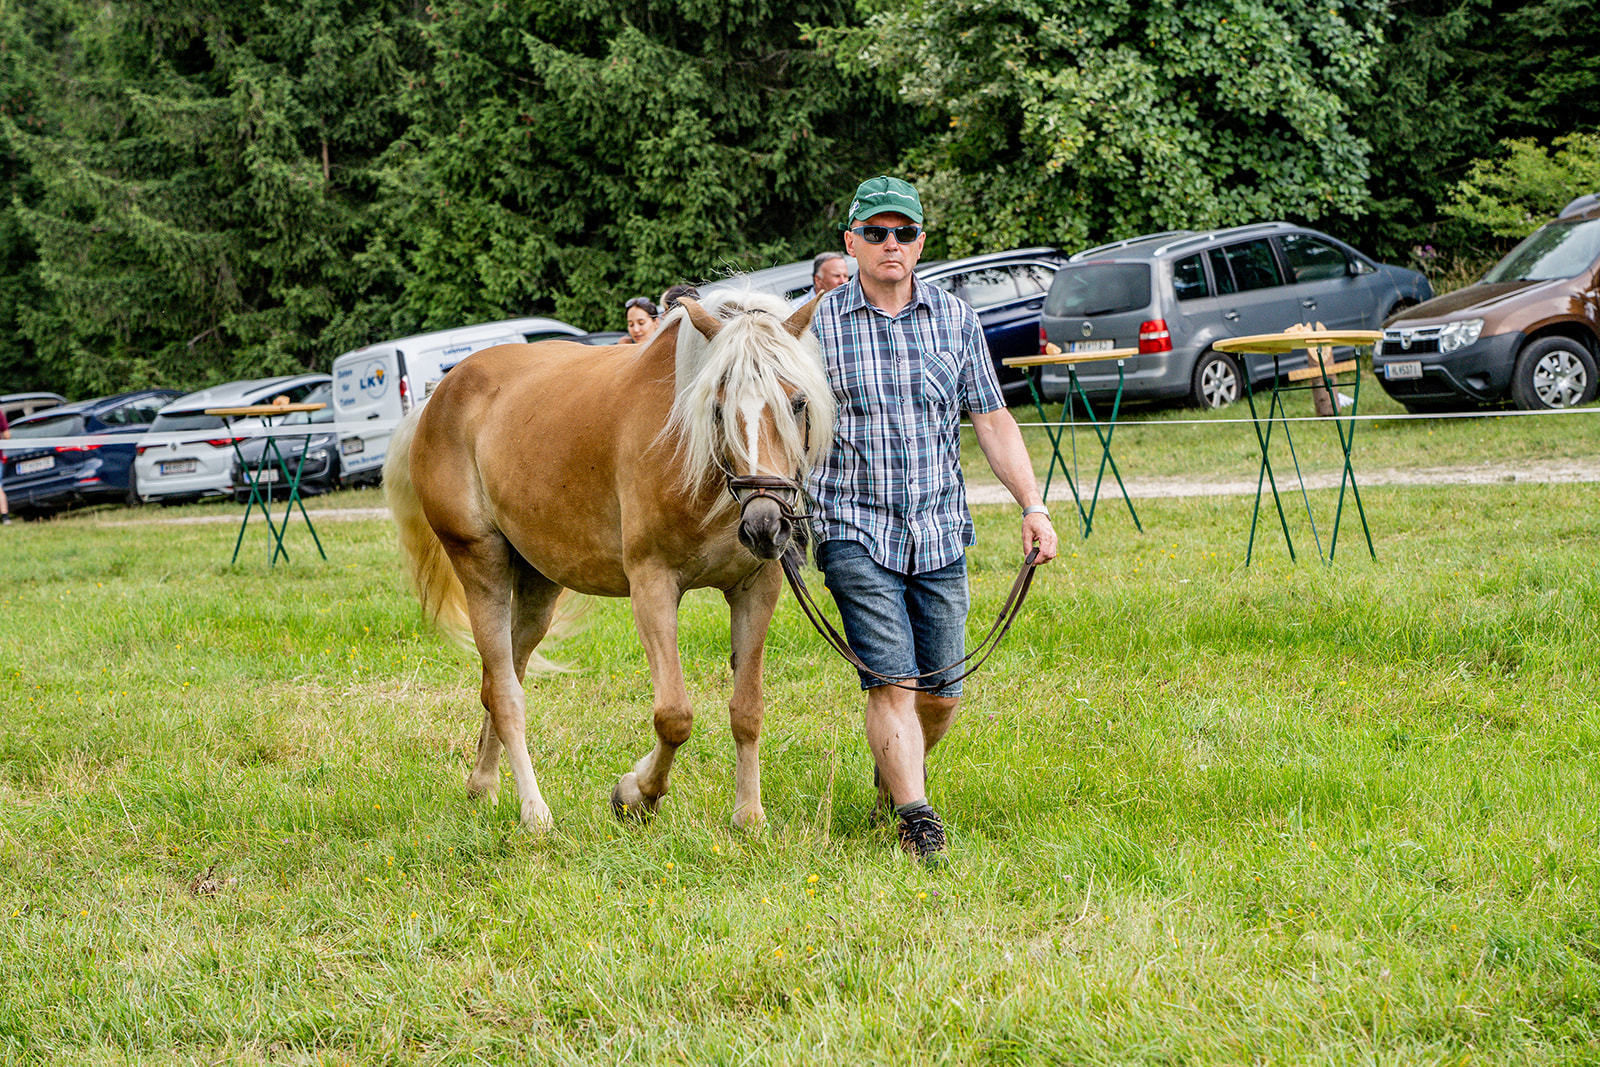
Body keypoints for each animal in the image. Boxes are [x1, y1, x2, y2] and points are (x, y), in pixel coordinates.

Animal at [388, 294, 838, 831]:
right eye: (717, 407)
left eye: (798, 402)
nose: (765, 524)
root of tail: (440, 393)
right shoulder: (652, 586)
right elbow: (674, 715)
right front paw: (637, 793)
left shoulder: (756, 588)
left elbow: (746, 710)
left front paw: (748, 816)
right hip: (481, 565)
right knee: (506, 695)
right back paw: (534, 811)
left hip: (538, 585)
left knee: (498, 681)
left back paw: (483, 785)